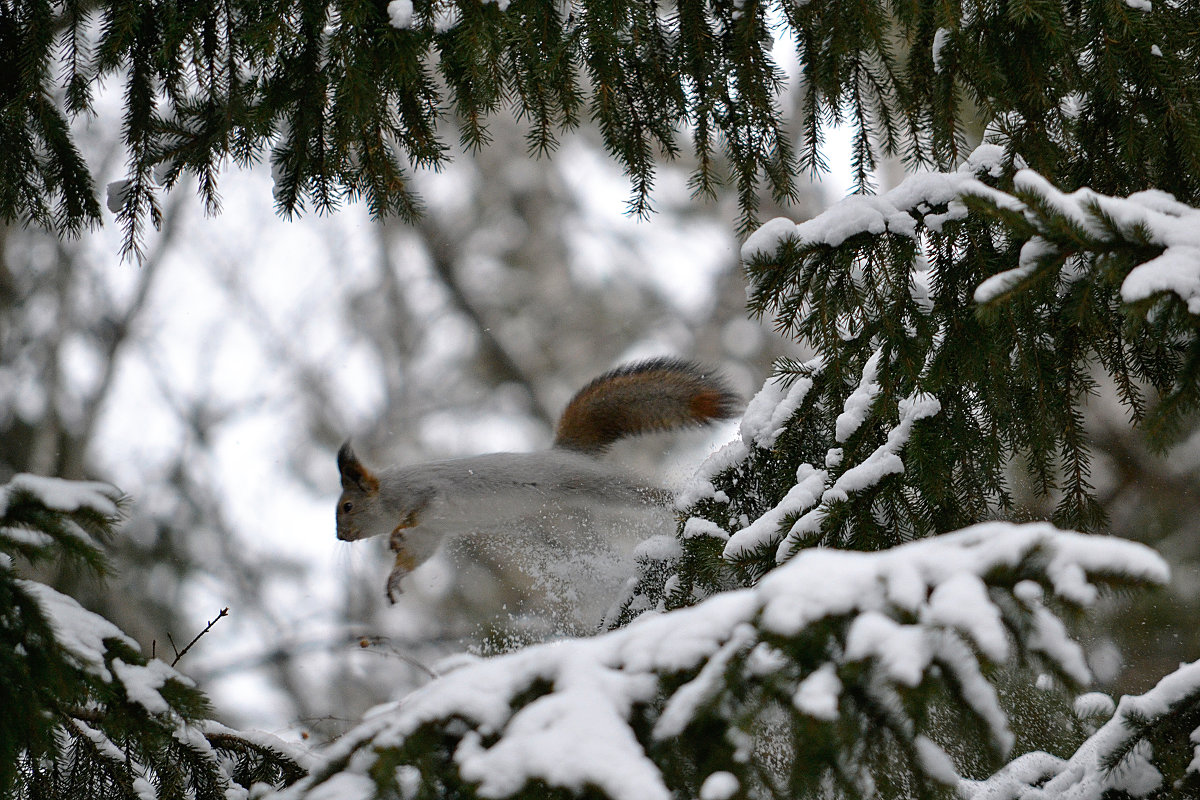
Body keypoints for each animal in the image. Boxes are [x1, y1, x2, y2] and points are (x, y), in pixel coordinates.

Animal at [333, 359, 734, 604]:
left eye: (347, 506)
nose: (339, 536)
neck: (386, 496)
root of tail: (565, 453)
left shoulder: (423, 492)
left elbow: (418, 510)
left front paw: (397, 531)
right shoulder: (431, 532)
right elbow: (419, 553)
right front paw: (394, 578)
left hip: (594, 484)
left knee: (642, 493)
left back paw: (684, 498)